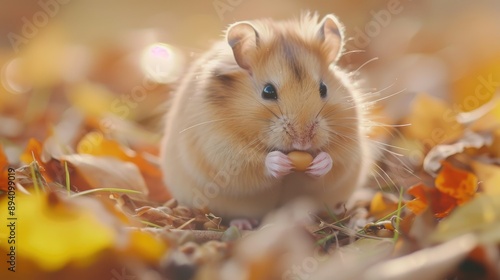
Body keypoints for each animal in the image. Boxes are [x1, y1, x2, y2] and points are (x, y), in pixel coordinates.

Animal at [158, 12, 374, 223]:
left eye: (323, 89)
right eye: (268, 91)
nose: (303, 141)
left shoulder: (349, 146)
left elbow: (334, 162)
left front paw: (321, 161)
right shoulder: (219, 148)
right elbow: (253, 164)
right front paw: (278, 162)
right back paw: (243, 223)